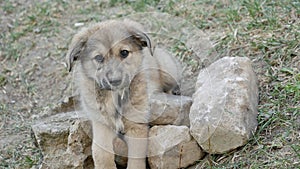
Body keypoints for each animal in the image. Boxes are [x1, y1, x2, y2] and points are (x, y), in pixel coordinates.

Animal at [66, 19, 182, 168]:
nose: (115, 81)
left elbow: (136, 160)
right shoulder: (101, 124)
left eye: (124, 53)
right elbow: (101, 153)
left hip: (167, 71)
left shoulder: (137, 125)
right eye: (99, 58)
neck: (116, 97)